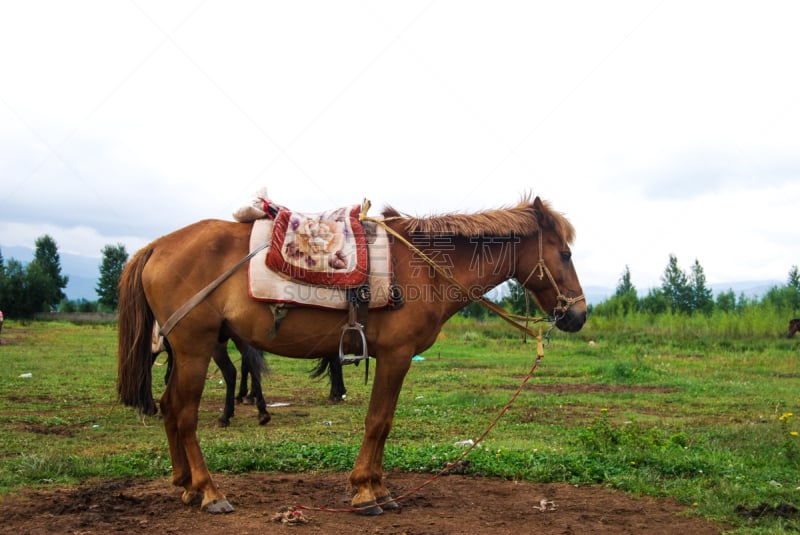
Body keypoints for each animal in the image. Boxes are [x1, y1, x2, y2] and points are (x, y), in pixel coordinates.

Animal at [115, 194, 584, 516]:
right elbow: (379, 422)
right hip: (195, 347)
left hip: (184, 350)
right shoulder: (396, 356)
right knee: (184, 414)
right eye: (564, 253)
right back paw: (210, 492)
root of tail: (156, 245)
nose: (577, 315)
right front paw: (366, 492)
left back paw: (186, 485)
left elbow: (383, 422)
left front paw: (378, 489)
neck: (427, 270)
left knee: (169, 407)